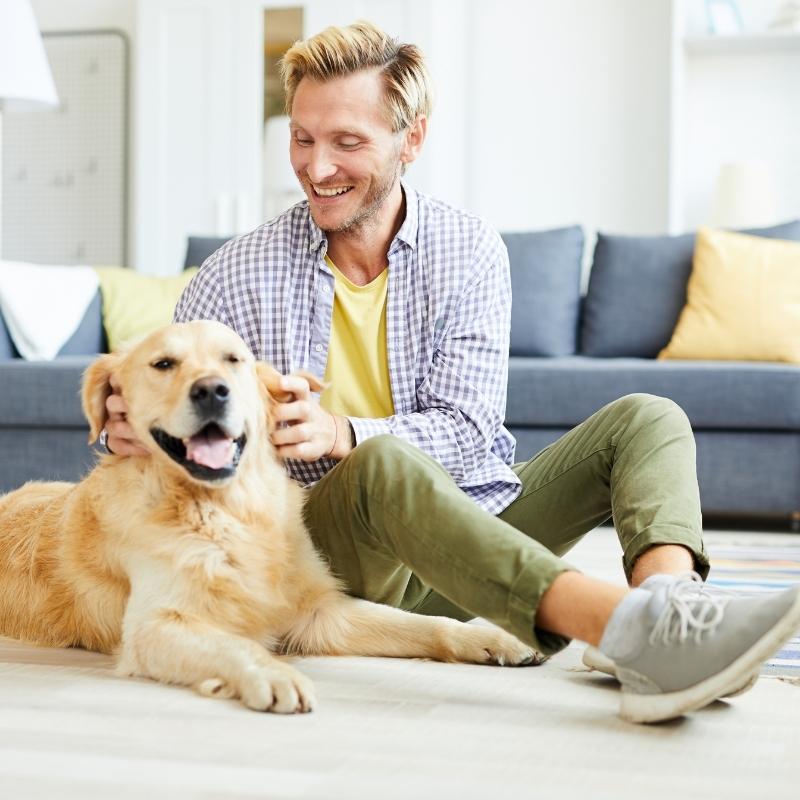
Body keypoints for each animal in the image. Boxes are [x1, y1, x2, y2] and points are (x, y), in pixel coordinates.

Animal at [0, 318, 536, 712]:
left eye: (232, 359)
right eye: (163, 364)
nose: (212, 390)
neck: (228, 510)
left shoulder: (323, 611)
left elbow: (421, 624)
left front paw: (491, 636)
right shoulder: (153, 626)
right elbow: (234, 644)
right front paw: (272, 674)